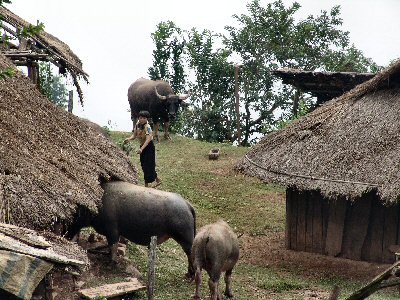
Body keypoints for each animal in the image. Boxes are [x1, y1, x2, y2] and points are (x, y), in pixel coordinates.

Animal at [68, 180, 196, 276]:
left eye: (74, 213)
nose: (68, 234)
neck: (99, 204)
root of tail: (187, 205)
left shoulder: (112, 231)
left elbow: (113, 247)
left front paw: (112, 263)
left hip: (185, 240)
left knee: (191, 255)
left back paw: (191, 275)